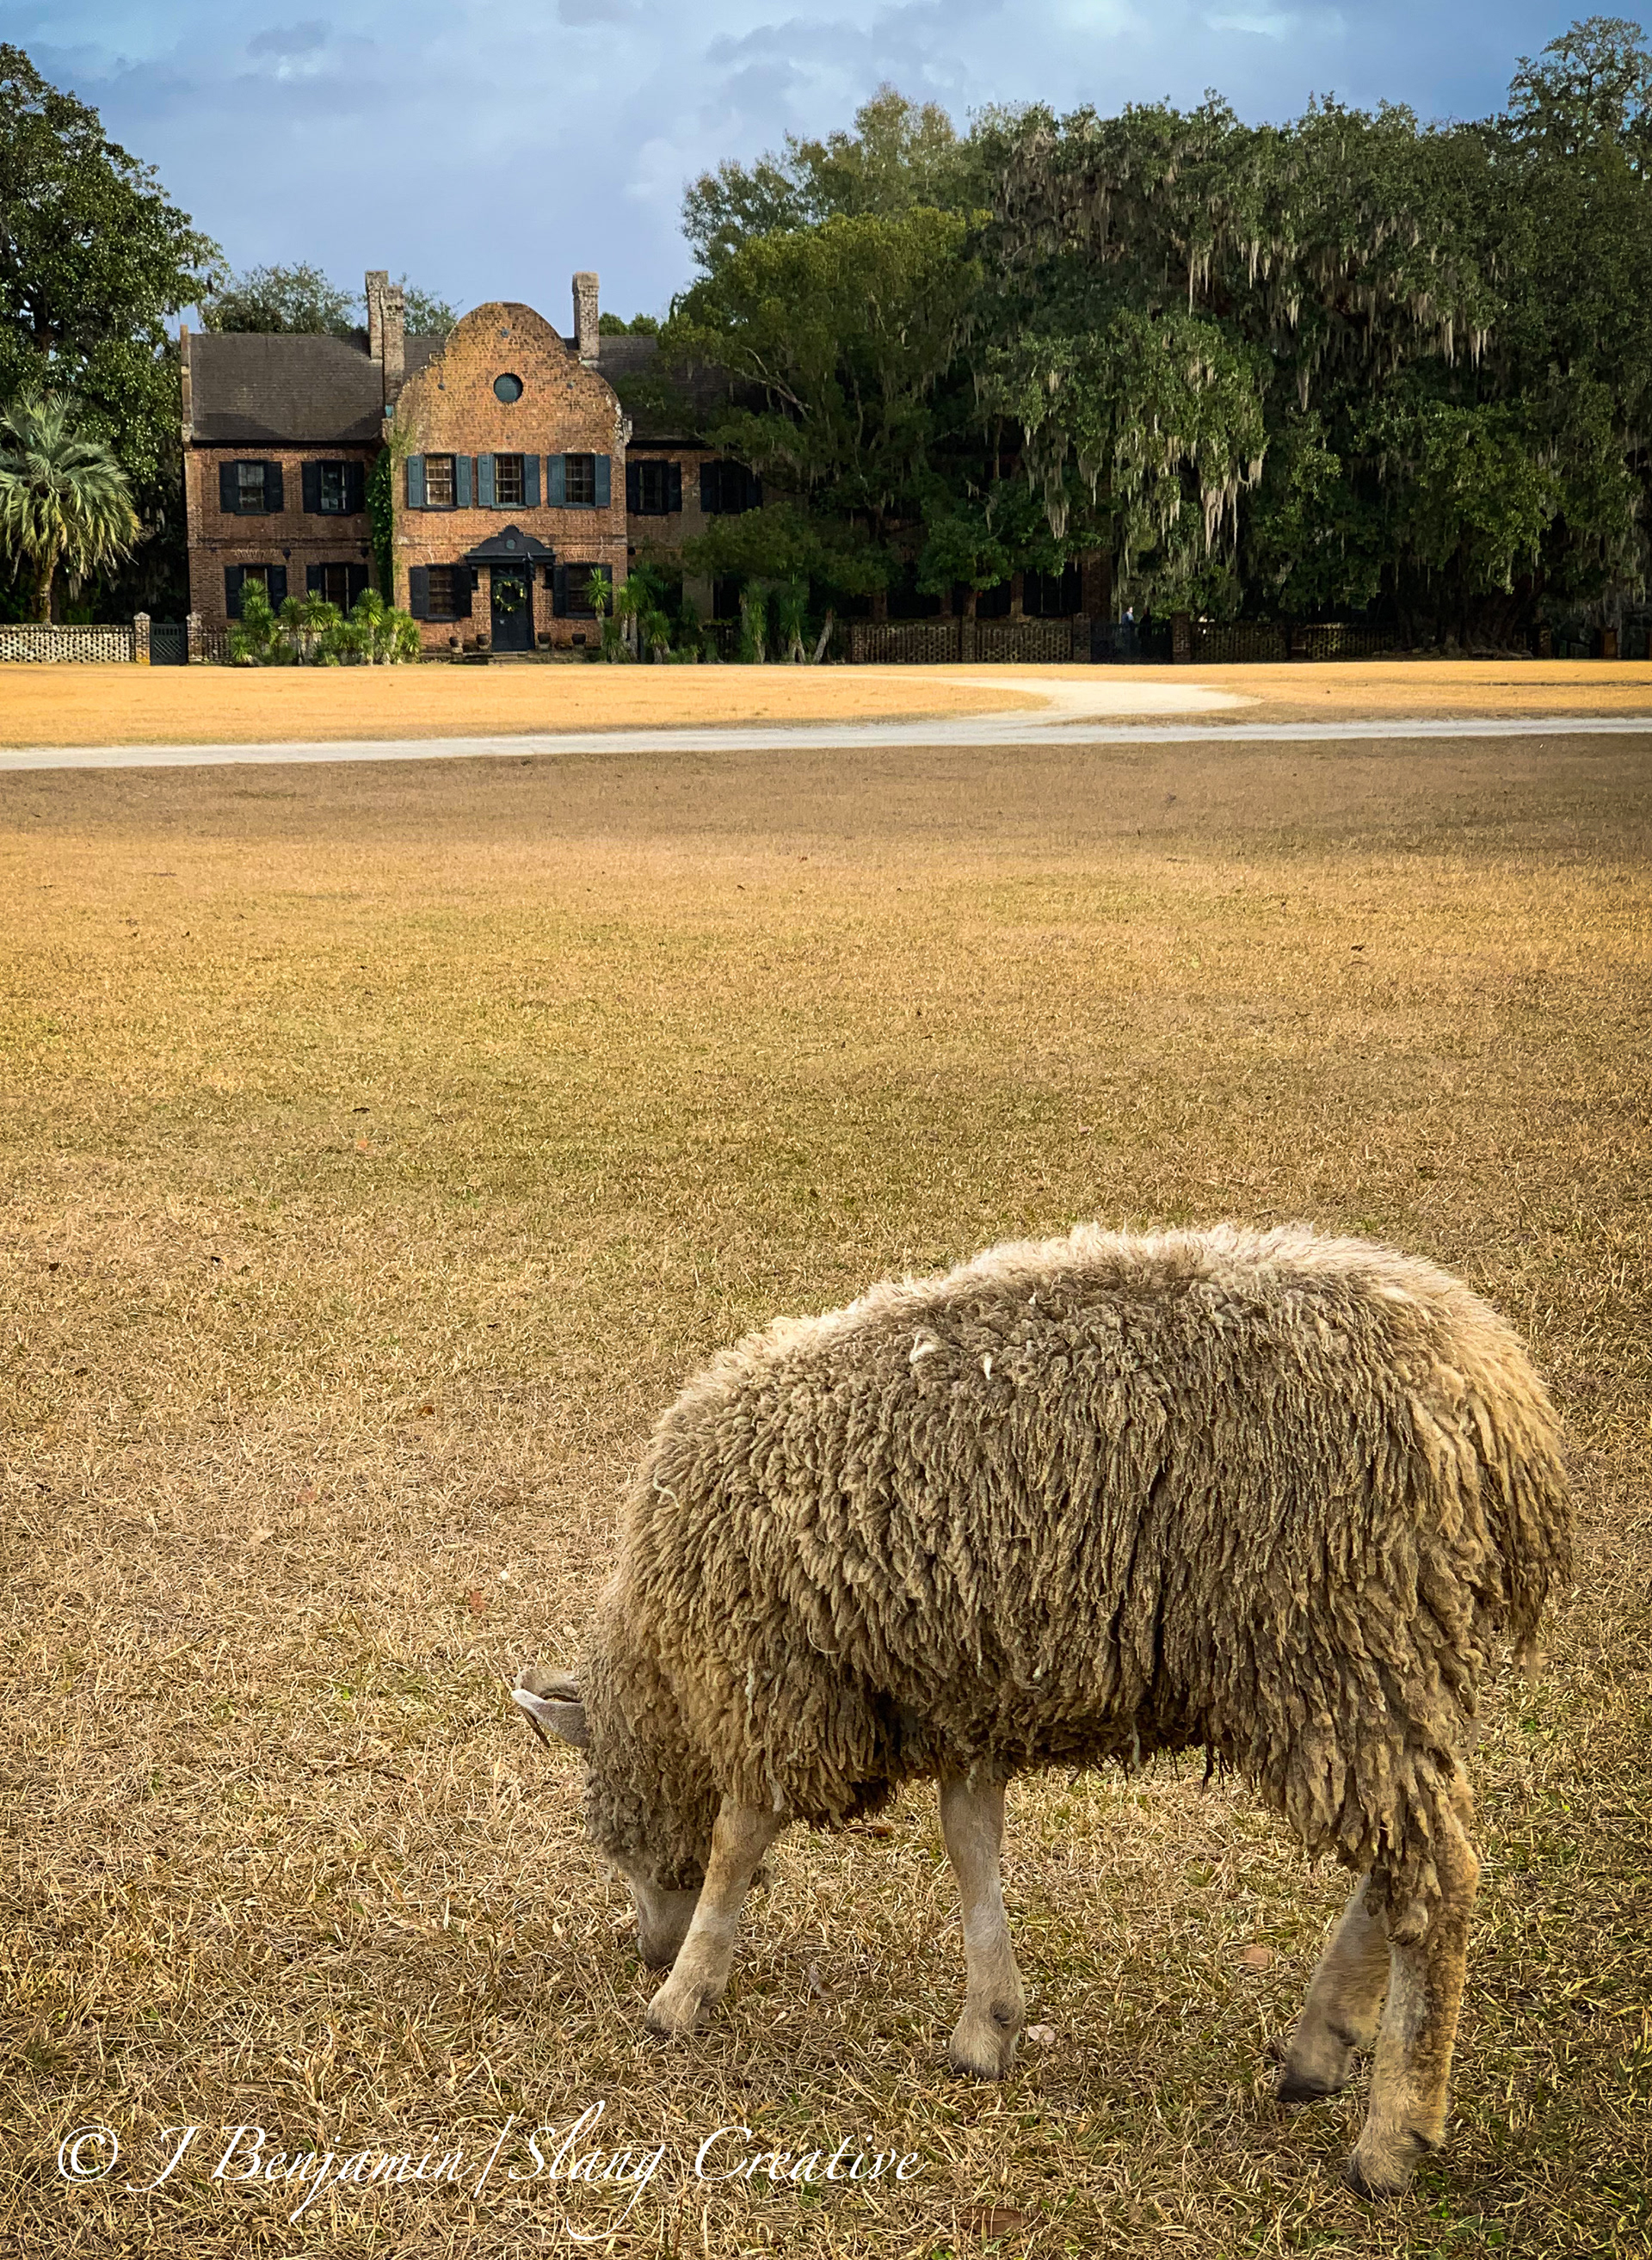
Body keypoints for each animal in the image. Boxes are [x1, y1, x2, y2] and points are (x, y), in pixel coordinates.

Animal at [513, 1222, 1570, 2198]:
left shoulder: (776, 1678)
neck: (668, 1658)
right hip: (1378, 1666)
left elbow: (738, 1839)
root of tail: (1499, 1398)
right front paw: (988, 2024)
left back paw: (1393, 2134)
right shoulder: (957, 1691)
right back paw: (1322, 2044)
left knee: (1438, 1878)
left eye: (610, 1839)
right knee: (1402, 1862)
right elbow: (969, 1840)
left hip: (1331, 1643)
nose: (646, 1949)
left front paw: (684, 1991)